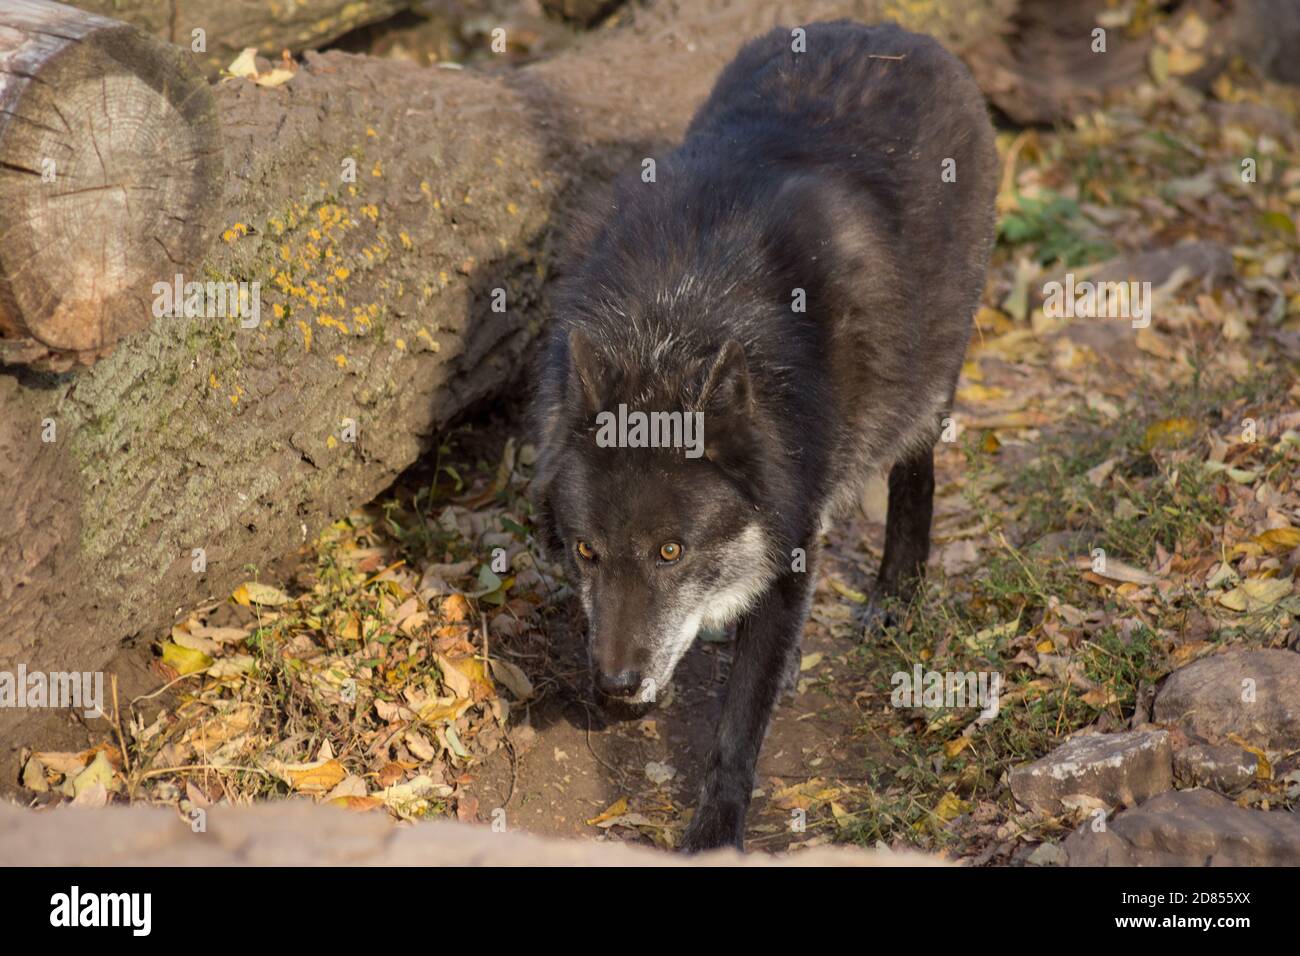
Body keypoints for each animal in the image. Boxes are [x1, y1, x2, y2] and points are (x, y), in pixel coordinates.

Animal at [529, 20, 998, 851]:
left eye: (671, 551)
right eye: (585, 550)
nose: (616, 688)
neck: (675, 325)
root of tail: (892, 31)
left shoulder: (790, 542)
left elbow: (740, 723)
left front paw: (715, 831)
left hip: (925, 379)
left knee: (917, 466)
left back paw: (896, 594)